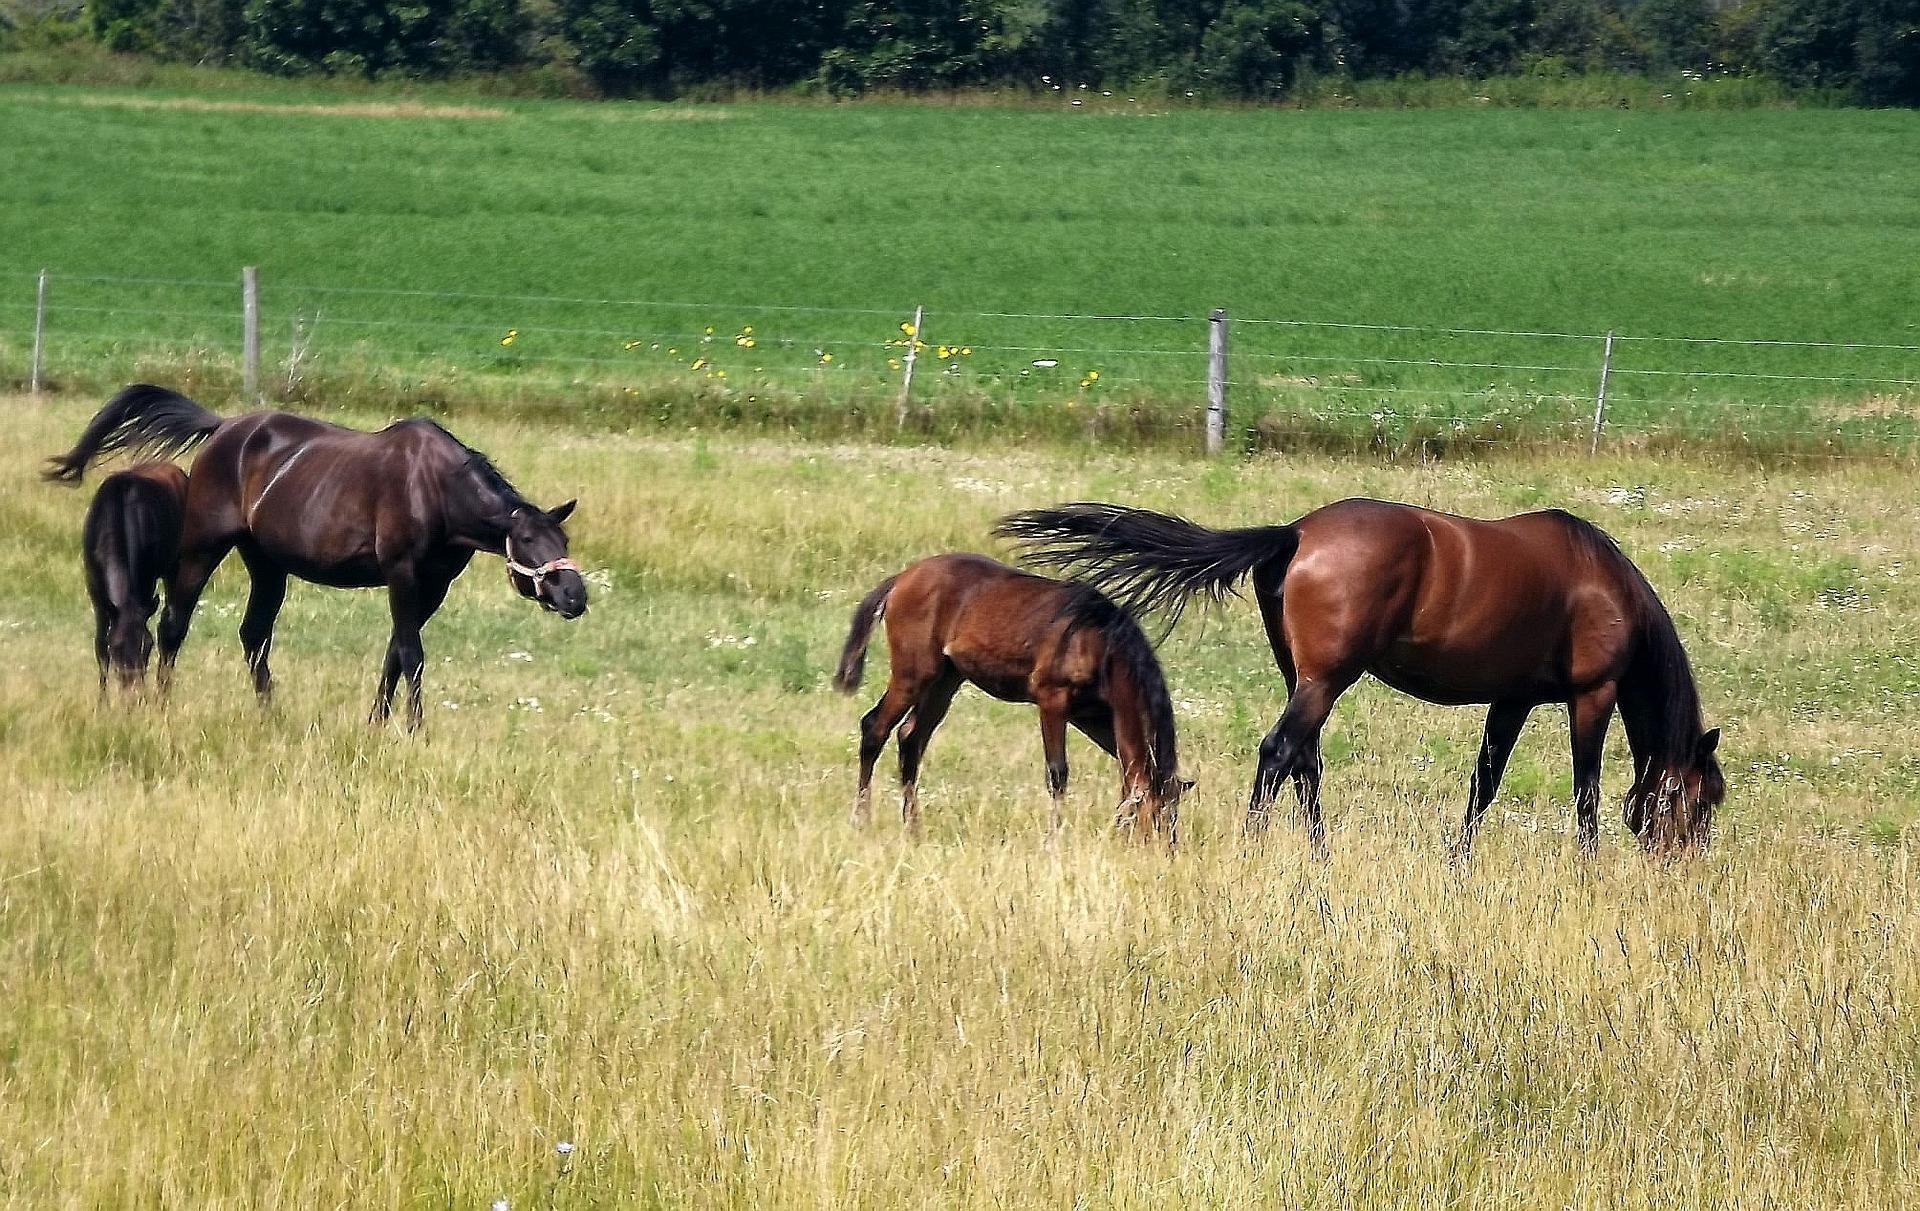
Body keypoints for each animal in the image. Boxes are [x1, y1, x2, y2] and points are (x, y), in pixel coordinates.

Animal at [80, 461, 189, 694]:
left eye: (147, 645)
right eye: (116, 647)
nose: (133, 689)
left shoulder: (145, 582)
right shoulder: (95, 589)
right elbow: (100, 647)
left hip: (174, 567)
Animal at [833, 553, 1190, 845]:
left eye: (1174, 815)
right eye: (1154, 815)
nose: (1165, 852)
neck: (1098, 641)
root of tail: (902, 579)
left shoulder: (1094, 716)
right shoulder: (1053, 701)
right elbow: (1057, 774)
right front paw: (1053, 842)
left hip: (945, 680)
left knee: (910, 738)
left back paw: (913, 829)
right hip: (913, 675)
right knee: (875, 728)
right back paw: (861, 821)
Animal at [997, 500, 1723, 858]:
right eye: (1705, 801)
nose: (1683, 868)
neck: (1602, 586)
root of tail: (1295, 533)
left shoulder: (1512, 698)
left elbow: (1484, 784)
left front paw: (1457, 863)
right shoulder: (1591, 695)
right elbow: (1587, 790)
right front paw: (1588, 865)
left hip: (1303, 676)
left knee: (1305, 762)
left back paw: (1319, 856)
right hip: (1326, 679)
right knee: (1280, 753)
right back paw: (1255, 847)